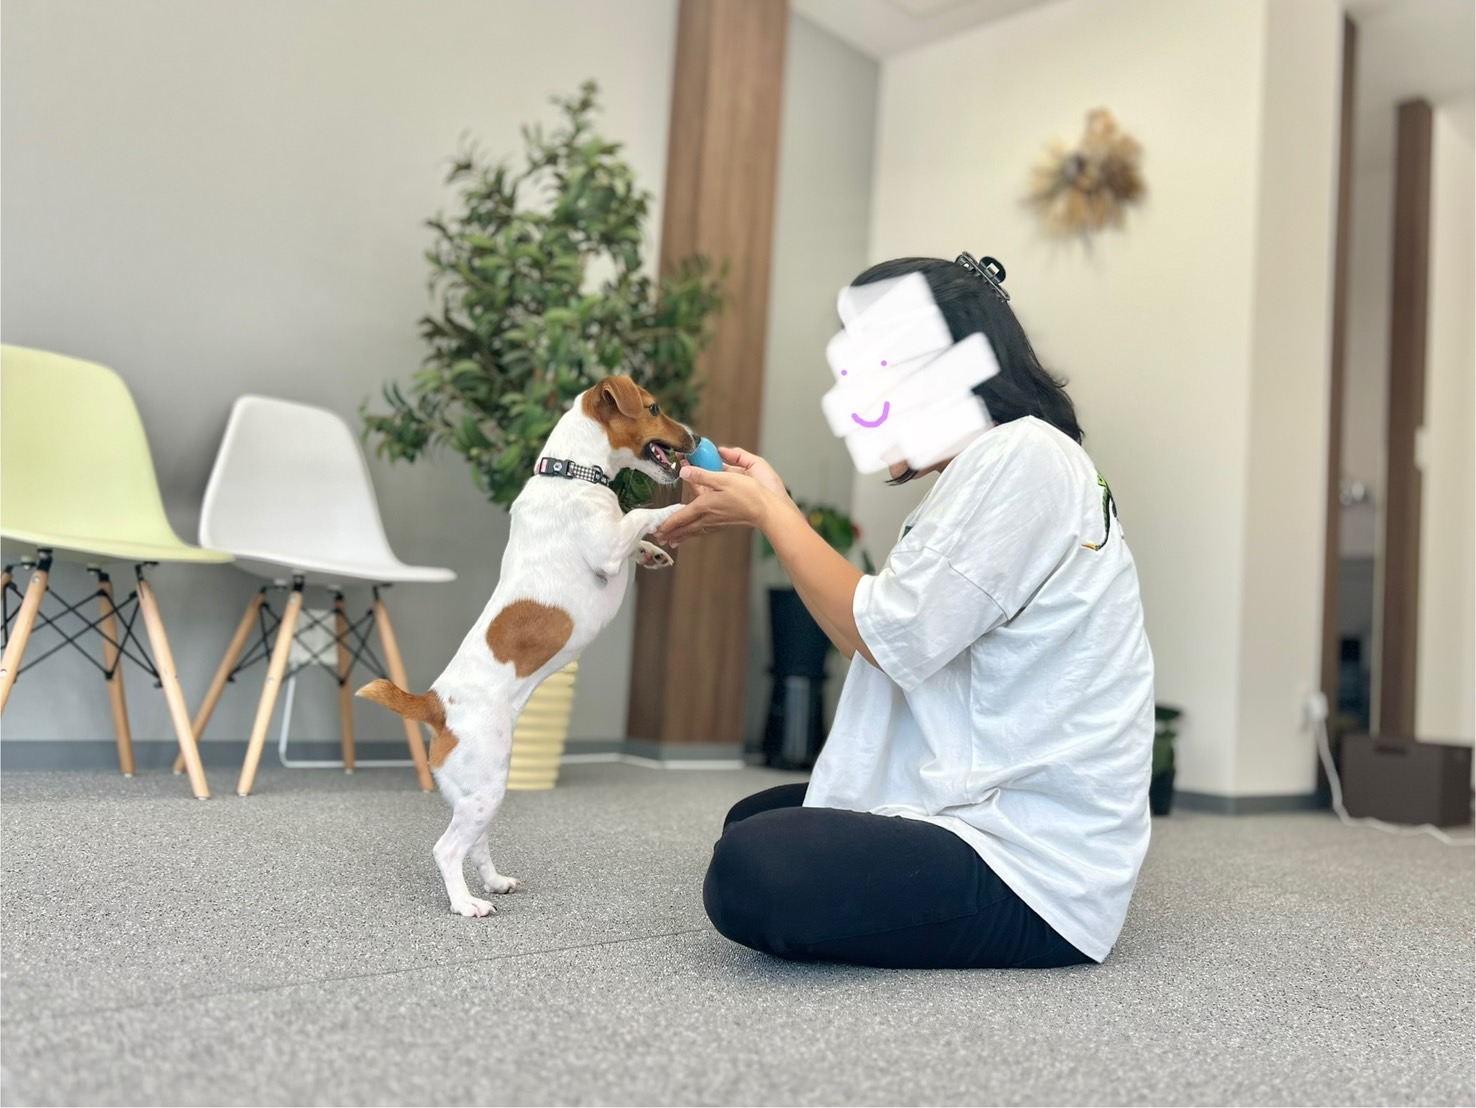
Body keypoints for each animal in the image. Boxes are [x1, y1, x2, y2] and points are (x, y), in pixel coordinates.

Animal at [358, 375, 695, 916]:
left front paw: (654, 552)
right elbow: (640, 515)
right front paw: (683, 507)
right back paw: (467, 904)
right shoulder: (606, 548)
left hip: (479, 791)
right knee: (447, 849)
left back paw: (494, 883)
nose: (694, 436)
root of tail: (432, 704)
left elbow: (637, 533)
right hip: (486, 785)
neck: (573, 472)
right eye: (654, 408)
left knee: (475, 844)